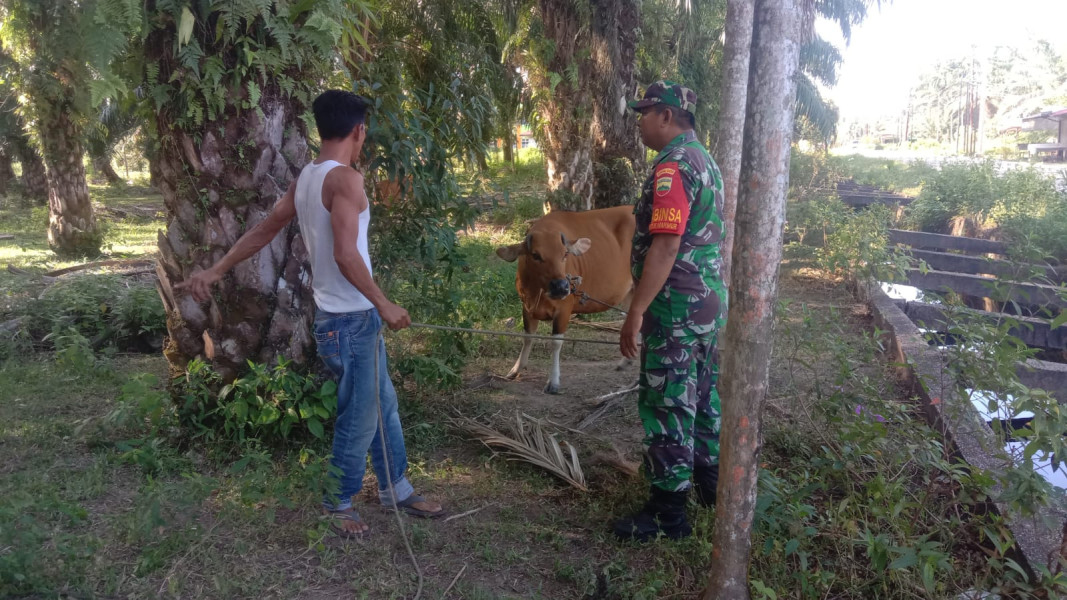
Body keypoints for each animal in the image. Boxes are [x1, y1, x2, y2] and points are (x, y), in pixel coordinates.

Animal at [497, 203, 635, 392]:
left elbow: (556, 343)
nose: (561, 287)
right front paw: (516, 369)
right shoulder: (526, 306)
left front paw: (553, 381)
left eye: (564, 254)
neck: (539, 291)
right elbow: (527, 337)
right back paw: (626, 361)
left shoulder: (564, 309)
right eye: (535, 255)